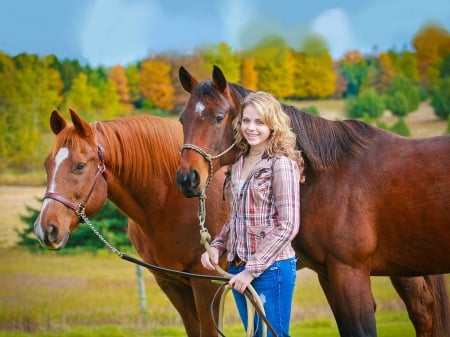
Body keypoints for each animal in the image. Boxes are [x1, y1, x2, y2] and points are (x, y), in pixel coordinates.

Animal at [34, 108, 232, 336]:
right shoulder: (172, 283)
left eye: (80, 166)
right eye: (47, 165)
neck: (174, 200)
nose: (45, 229)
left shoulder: (207, 284)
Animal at [175, 65, 450, 336]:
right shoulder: (329, 276)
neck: (329, 174)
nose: (187, 178)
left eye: (219, 117)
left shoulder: (350, 275)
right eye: (182, 120)